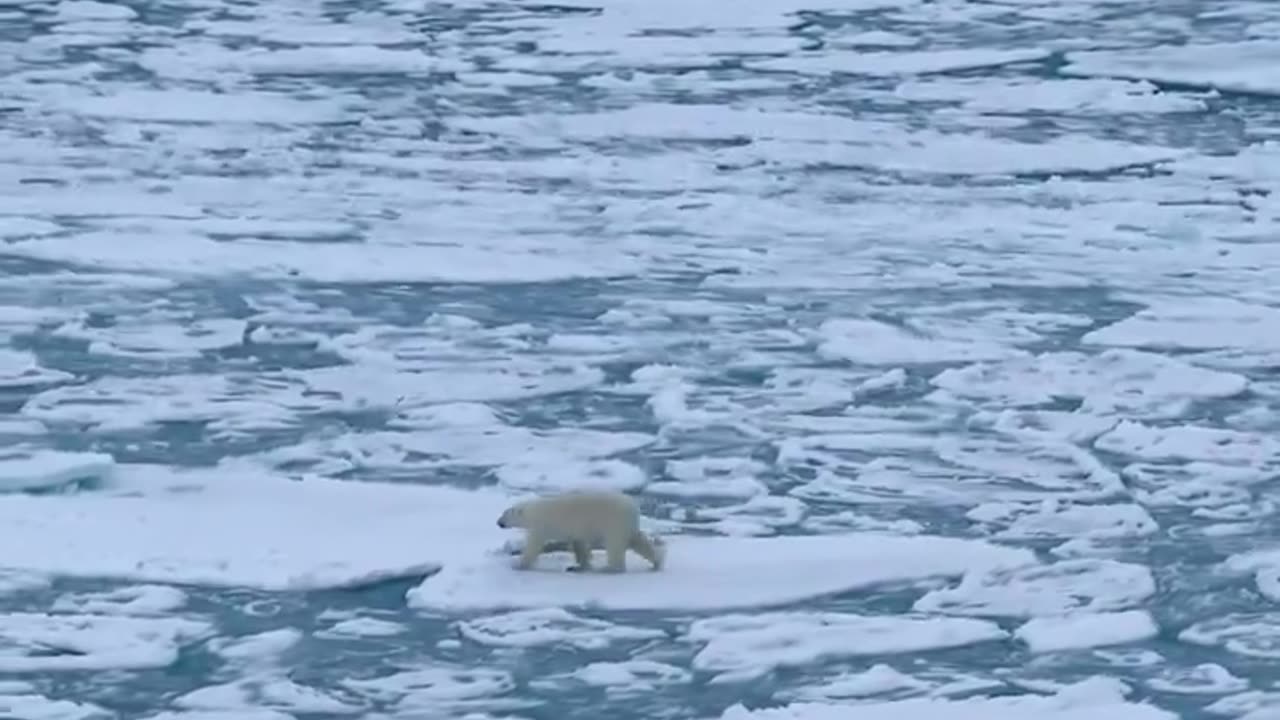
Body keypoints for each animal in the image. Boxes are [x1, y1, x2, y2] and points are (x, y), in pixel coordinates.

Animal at [494, 486, 665, 571]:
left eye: (504, 514)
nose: (498, 522)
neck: (532, 511)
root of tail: (634, 507)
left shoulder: (541, 525)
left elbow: (533, 545)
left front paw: (518, 565)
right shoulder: (576, 530)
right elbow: (579, 545)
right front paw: (579, 565)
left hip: (614, 522)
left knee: (614, 545)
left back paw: (609, 568)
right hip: (627, 525)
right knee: (638, 540)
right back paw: (657, 562)